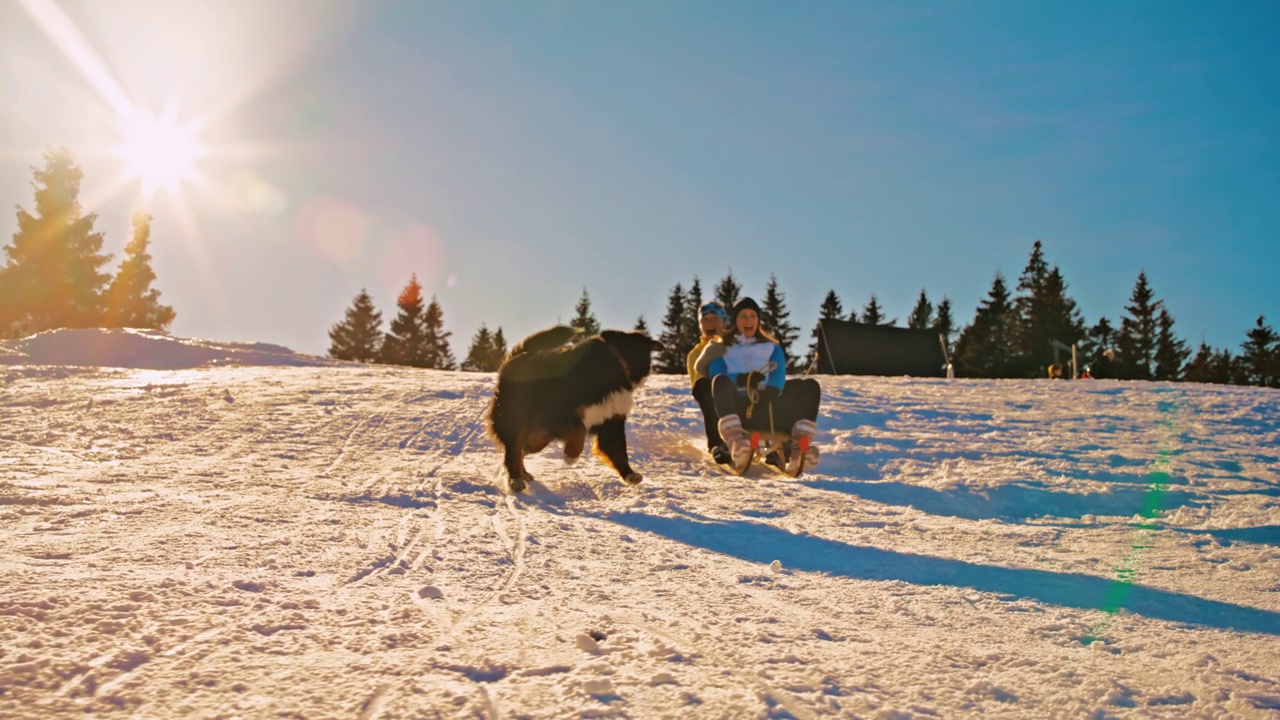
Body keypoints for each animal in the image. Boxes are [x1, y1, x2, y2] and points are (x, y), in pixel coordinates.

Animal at [488, 326, 665, 489]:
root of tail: (514, 359)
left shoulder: (610, 420)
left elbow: (618, 451)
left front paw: (629, 475)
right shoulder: (554, 411)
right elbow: (578, 430)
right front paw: (571, 455)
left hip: (538, 438)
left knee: (522, 451)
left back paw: (523, 474)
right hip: (517, 420)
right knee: (513, 449)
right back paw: (515, 480)